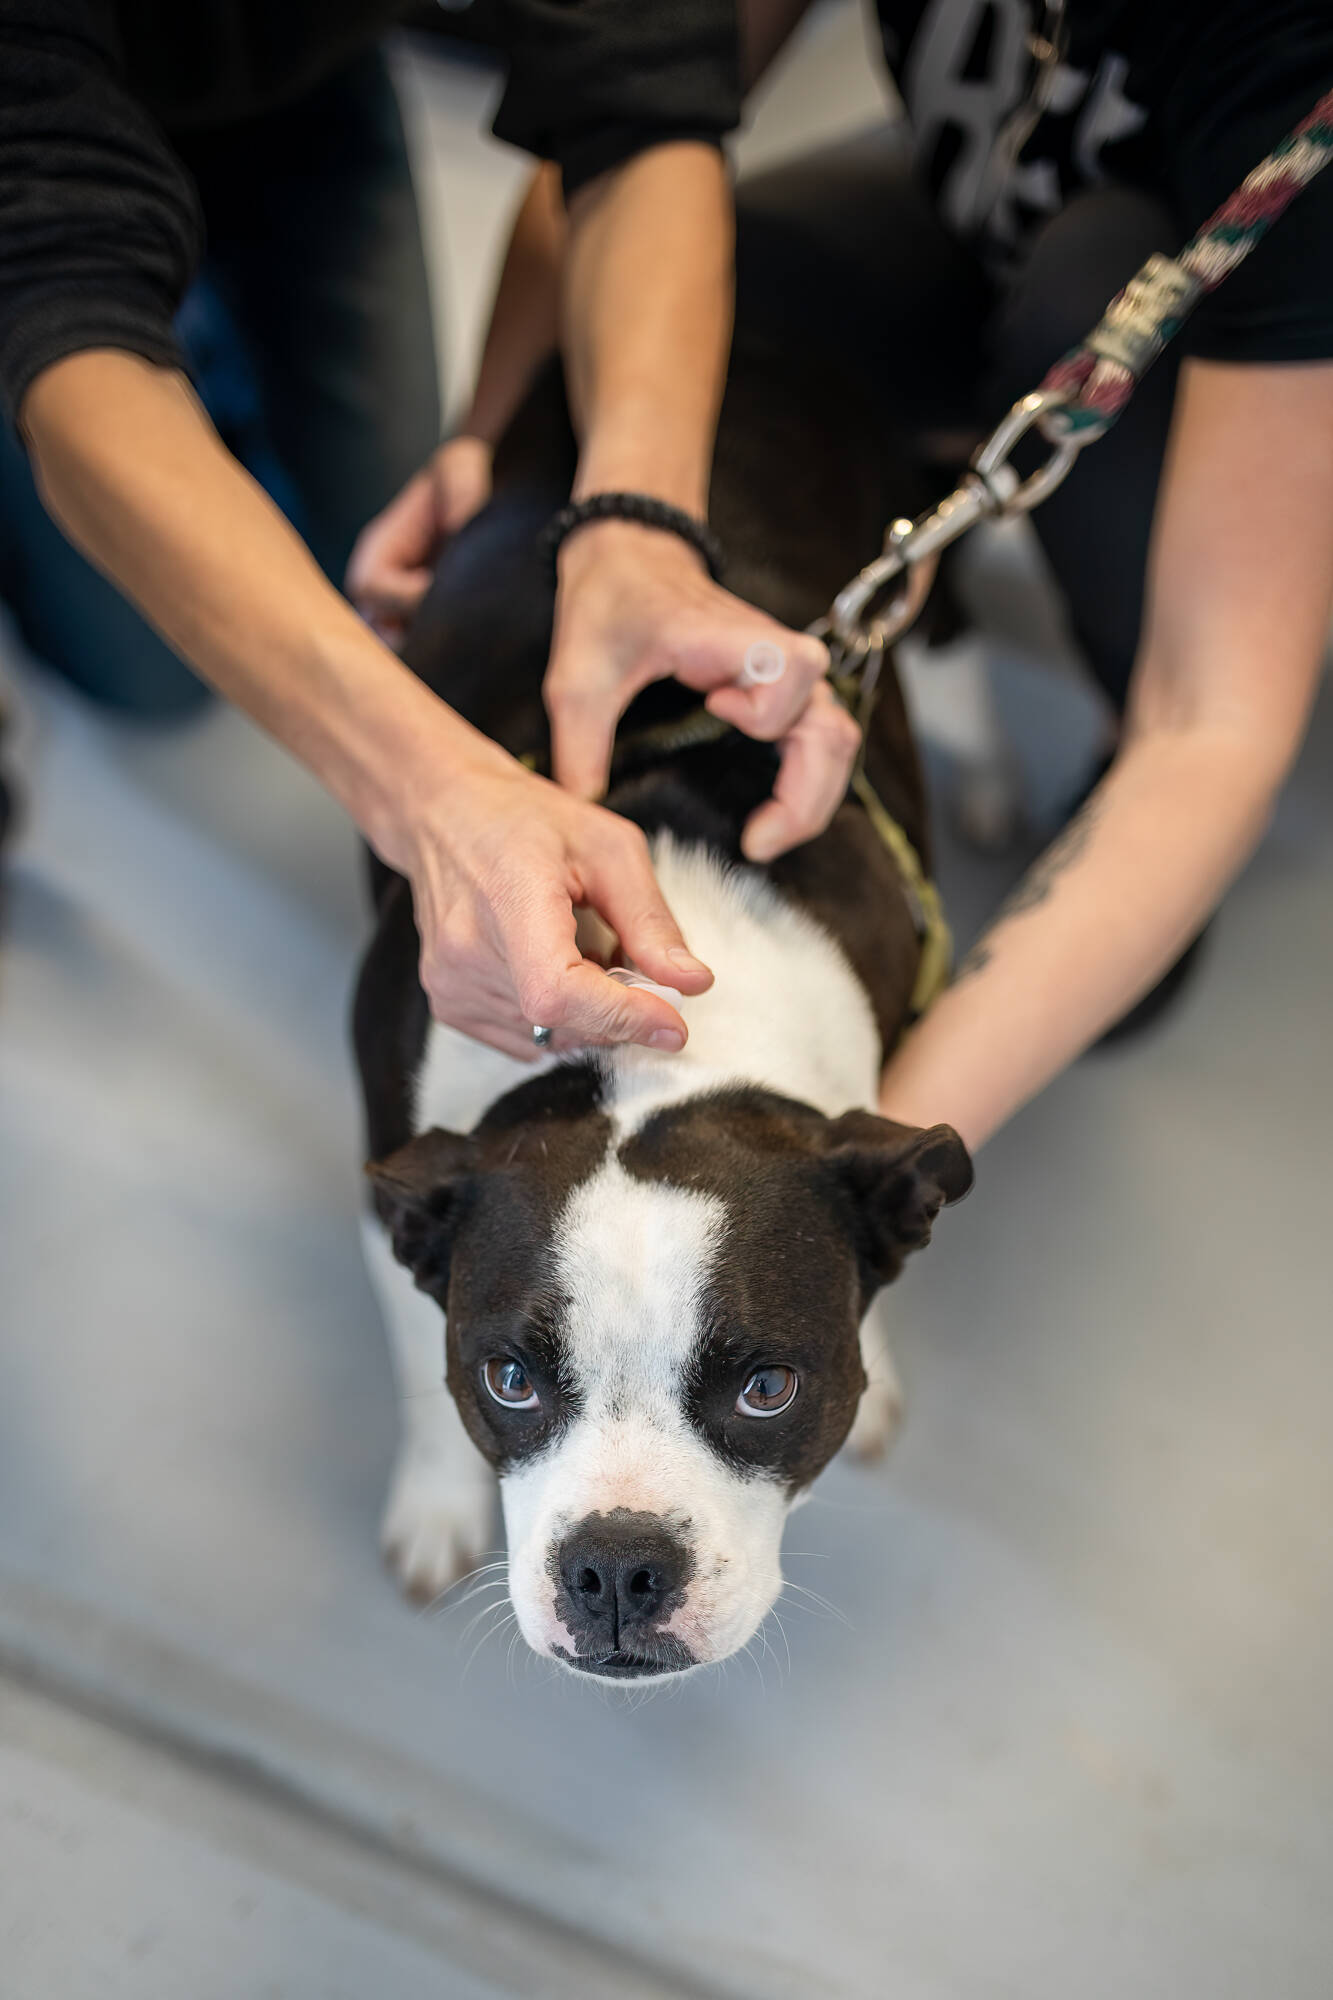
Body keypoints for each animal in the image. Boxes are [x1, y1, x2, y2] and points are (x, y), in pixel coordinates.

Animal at [356, 348, 964, 1688]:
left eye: (769, 1389)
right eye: (510, 1378)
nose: (618, 1565)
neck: (665, 1043)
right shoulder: (396, 1184)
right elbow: (417, 1370)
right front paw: (433, 1502)